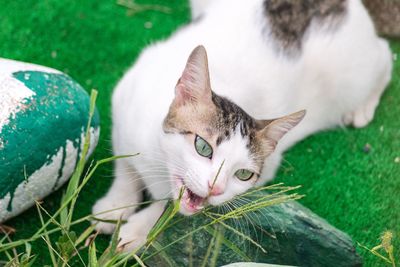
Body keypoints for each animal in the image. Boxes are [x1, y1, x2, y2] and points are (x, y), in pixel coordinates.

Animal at [92, 0, 396, 251]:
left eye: (243, 175)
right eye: (203, 147)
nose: (215, 189)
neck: (159, 163)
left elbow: (168, 205)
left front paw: (137, 231)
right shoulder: (124, 103)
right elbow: (125, 166)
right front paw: (114, 206)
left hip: (355, 76)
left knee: (385, 55)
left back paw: (362, 108)